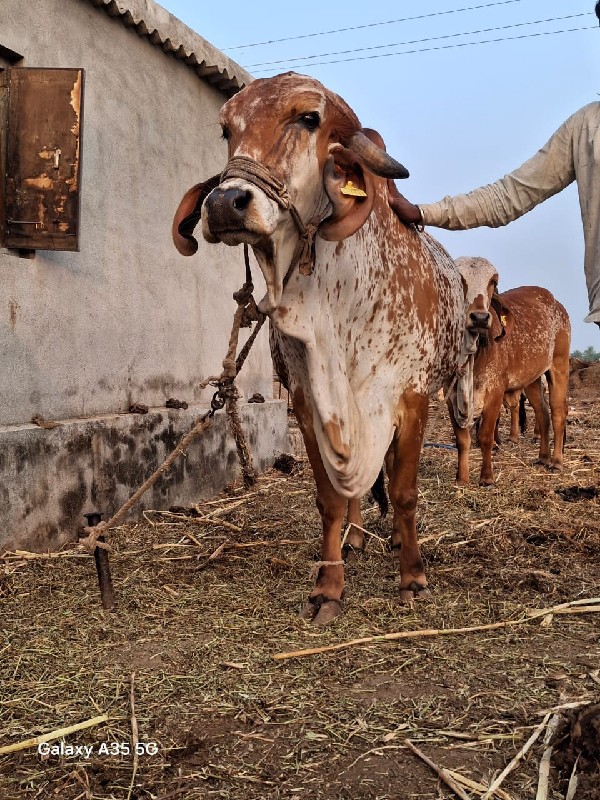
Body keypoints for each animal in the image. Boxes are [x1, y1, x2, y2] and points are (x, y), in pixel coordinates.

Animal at [173, 73, 468, 624]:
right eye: (227, 129)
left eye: (309, 118)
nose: (223, 204)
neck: (338, 309)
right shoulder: (309, 404)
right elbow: (330, 498)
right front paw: (328, 587)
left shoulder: (412, 398)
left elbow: (404, 491)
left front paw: (412, 577)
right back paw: (355, 538)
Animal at [450, 256, 572, 488]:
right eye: (460, 278)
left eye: (493, 282)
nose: (480, 317)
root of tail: (558, 305)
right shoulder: (452, 396)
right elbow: (462, 440)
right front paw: (461, 479)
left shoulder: (495, 391)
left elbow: (485, 436)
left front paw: (487, 477)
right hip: (532, 379)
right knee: (542, 413)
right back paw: (542, 457)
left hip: (559, 366)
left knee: (558, 412)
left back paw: (556, 461)